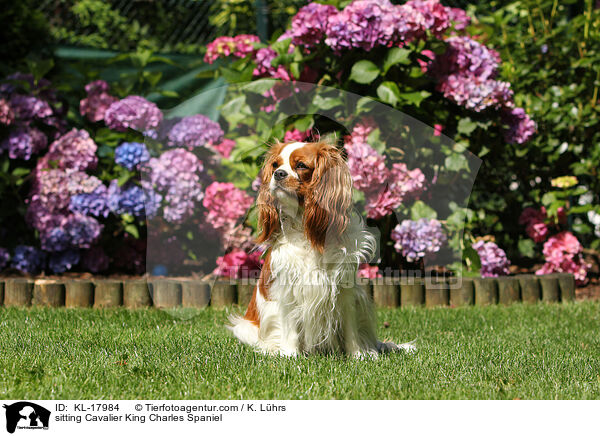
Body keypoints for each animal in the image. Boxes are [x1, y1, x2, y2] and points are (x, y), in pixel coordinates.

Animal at [227, 141, 414, 358]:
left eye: (301, 165)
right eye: (275, 165)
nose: (278, 174)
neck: (306, 228)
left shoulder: (345, 288)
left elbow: (350, 327)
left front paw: (358, 355)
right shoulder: (288, 288)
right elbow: (290, 325)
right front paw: (290, 355)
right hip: (245, 328)